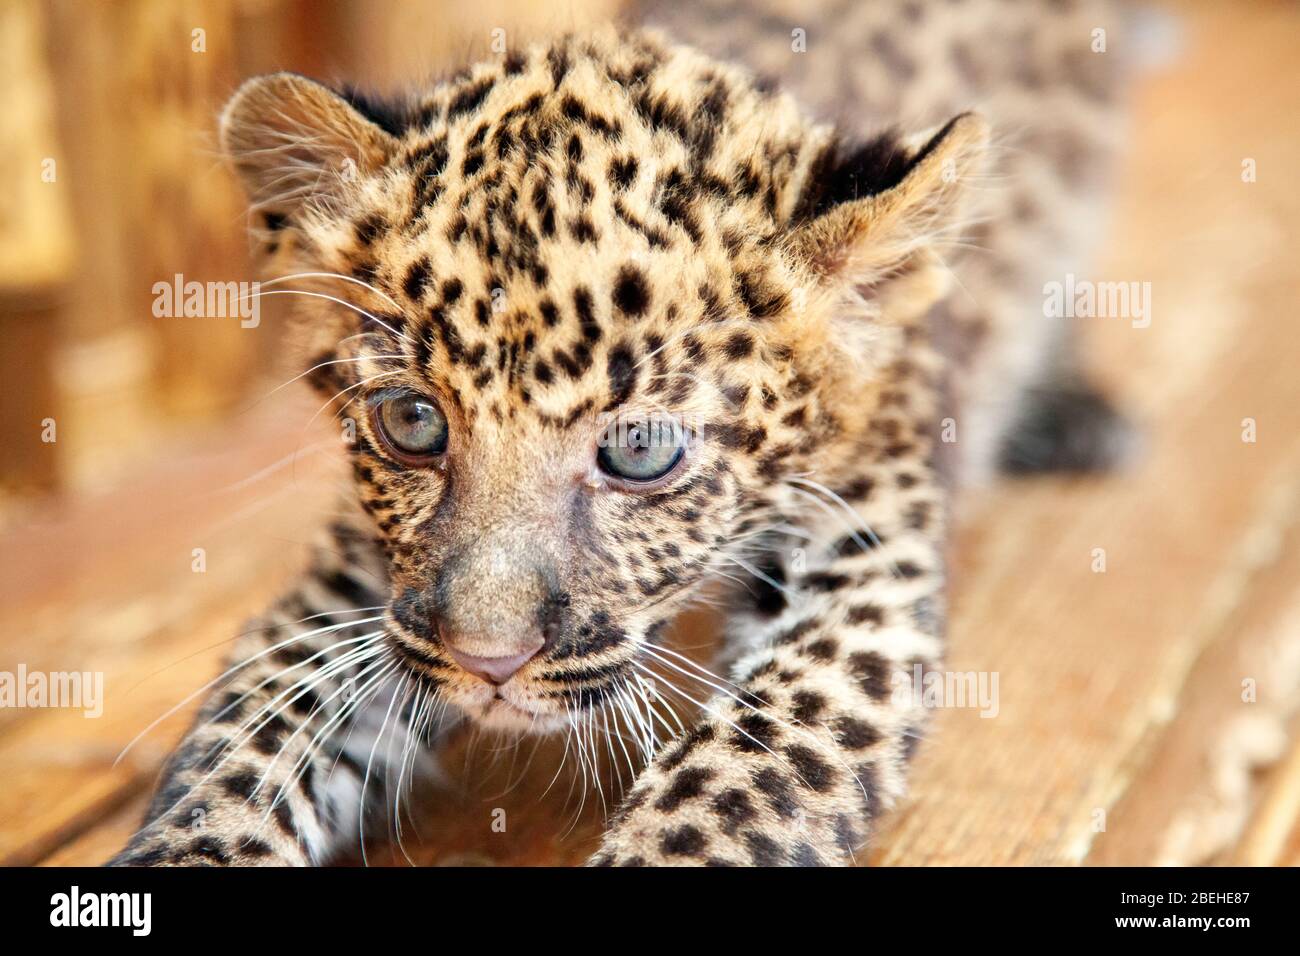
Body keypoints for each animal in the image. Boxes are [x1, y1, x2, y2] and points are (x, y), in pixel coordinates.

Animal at [111, 0, 1128, 868]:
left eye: (640, 450)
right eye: (412, 421)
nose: (488, 662)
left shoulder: (863, 546)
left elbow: (753, 767)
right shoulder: (368, 580)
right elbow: (251, 728)